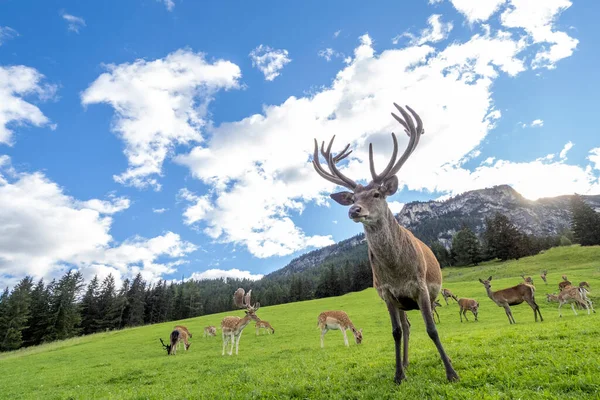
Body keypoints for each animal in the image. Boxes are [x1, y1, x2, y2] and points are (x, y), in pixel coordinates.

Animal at [310, 104, 460, 384]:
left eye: (377, 193)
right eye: (353, 198)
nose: (354, 210)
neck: (397, 270)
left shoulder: (420, 286)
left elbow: (432, 329)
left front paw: (451, 372)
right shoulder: (388, 293)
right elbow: (395, 332)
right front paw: (398, 375)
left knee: (416, 325)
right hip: (401, 303)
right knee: (406, 327)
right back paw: (406, 363)